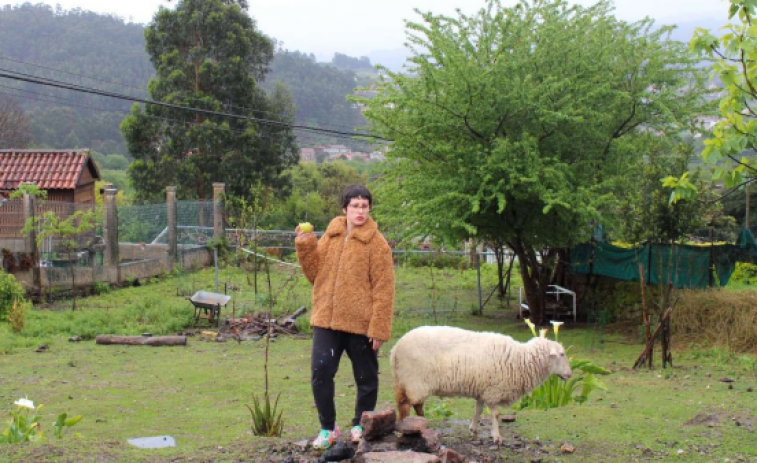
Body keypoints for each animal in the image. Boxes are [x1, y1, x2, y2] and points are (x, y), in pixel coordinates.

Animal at [392, 324, 568, 444]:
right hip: (414, 381)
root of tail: (395, 349)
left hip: (407, 381)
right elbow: (495, 414)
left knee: (413, 404)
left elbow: (478, 410)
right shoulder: (494, 390)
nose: (569, 374)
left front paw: (473, 431)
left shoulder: (483, 390)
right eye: (561, 354)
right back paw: (407, 429)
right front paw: (497, 437)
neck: (520, 359)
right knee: (408, 405)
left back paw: (422, 424)